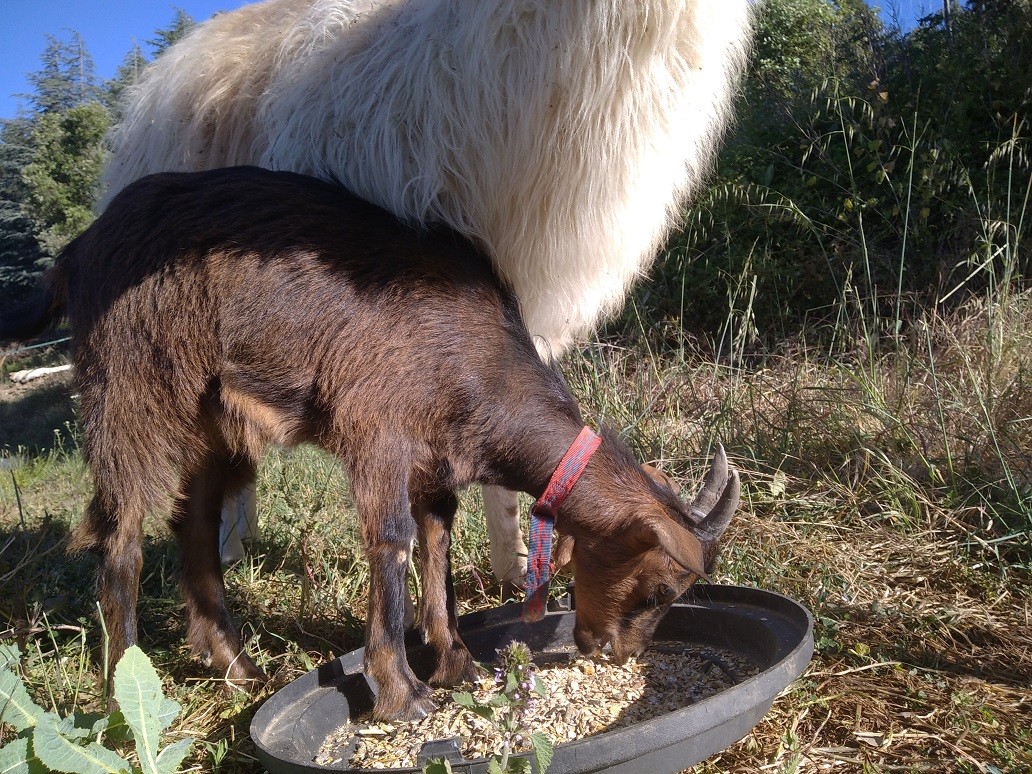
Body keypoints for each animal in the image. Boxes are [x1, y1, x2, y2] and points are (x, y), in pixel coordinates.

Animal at [4, 167, 738, 726]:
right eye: (660, 588)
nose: (615, 652)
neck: (478, 365)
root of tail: (78, 250)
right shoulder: (378, 434)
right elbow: (392, 542)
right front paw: (399, 690)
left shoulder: (437, 463)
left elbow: (438, 543)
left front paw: (455, 662)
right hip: (130, 386)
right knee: (120, 534)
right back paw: (120, 696)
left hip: (215, 417)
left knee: (195, 521)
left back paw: (237, 666)